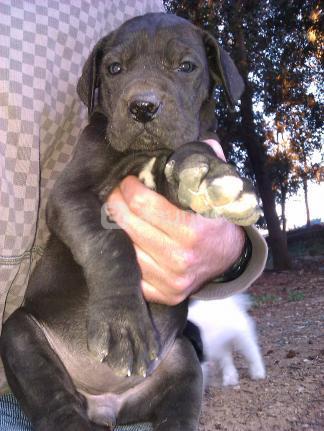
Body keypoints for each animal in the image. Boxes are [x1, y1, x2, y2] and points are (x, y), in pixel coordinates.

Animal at [0, 11, 260, 430]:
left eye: (186, 66)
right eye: (114, 69)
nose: (143, 107)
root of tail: (105, 404)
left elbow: (188, 154)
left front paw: (204, 174)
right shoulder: (68, 196)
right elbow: (110, 244)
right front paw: (123, 323)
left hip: (181, 358)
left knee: (179, 406)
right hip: (20, 334)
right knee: (55, 404)